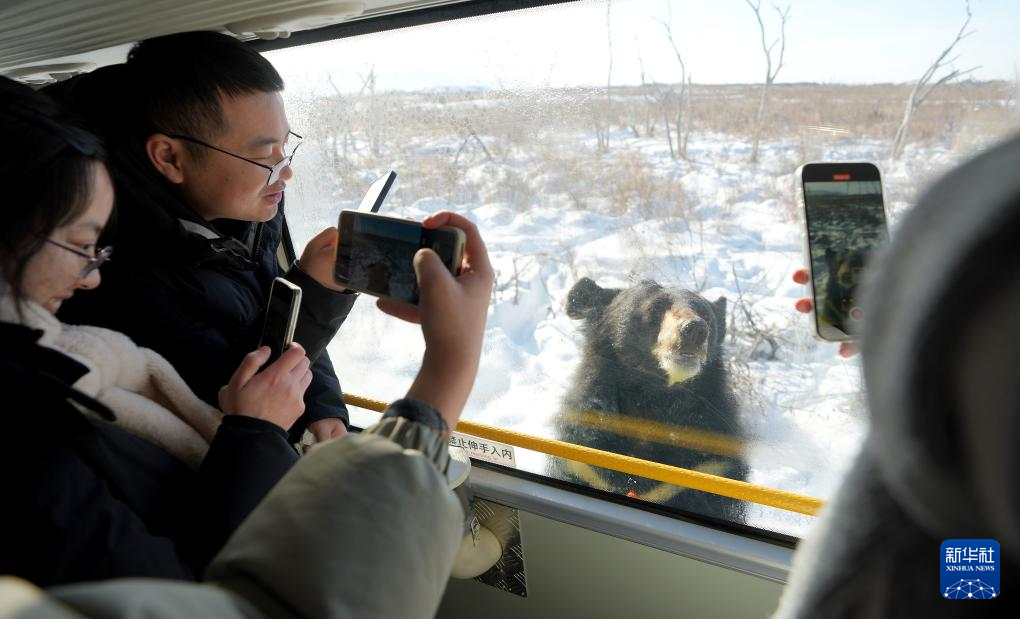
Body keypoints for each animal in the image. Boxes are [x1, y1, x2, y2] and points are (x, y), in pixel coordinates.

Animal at [558, 279, 750, 526]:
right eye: (656, 307)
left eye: (706, 315)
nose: (695, 329)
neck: (655, 399)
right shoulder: (585, 463)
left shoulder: (712, 466)